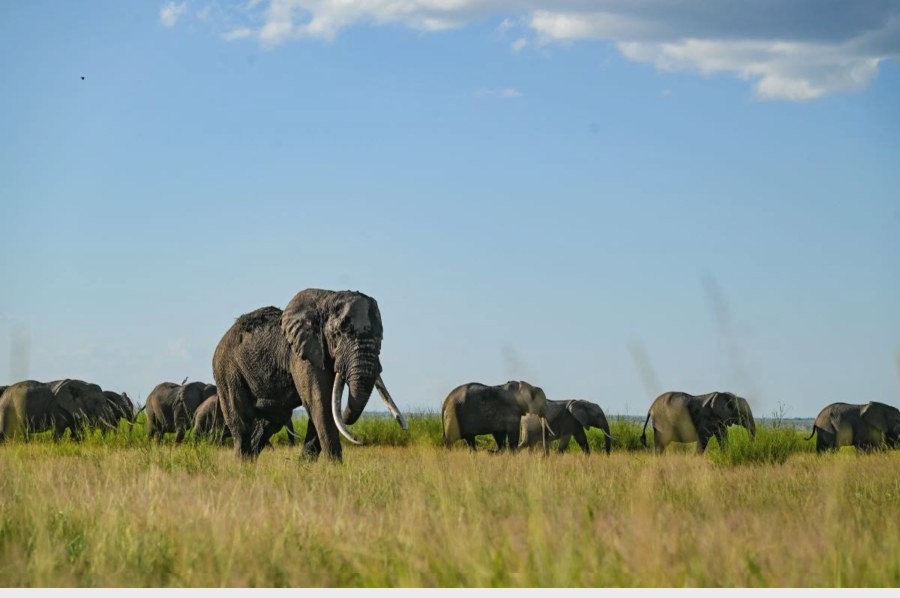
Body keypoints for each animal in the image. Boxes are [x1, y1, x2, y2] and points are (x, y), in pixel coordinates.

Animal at [212, 289, 407, 462]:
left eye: (380, 336)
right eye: (338, 334)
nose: (361, 439)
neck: (327, 298)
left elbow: (323, 406)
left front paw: (305, 469)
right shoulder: (302, 355)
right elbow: (321, 403)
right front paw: (334, 469)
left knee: (269, 424)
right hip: (227, 371)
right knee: (241, 425)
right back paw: (242, 468)